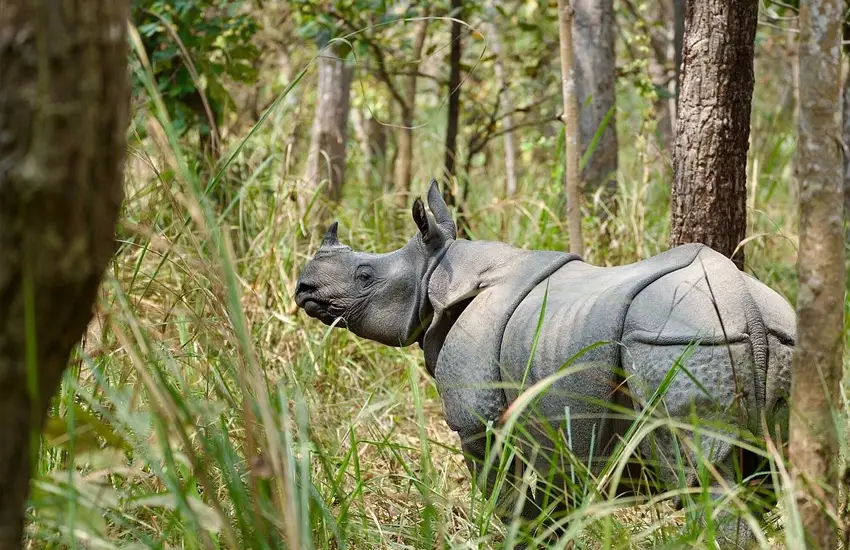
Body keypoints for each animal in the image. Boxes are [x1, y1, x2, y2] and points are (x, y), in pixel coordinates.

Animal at [294, 180, 795, 547]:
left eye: (364, 277)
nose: (303, 288)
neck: (437, 272)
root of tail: (745, 305)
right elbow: (553, 496)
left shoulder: (478, 420)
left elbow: (504, 491)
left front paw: (517, 538)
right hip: (774, 336)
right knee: (764, 476)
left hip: (683, 339)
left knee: (704, 477)